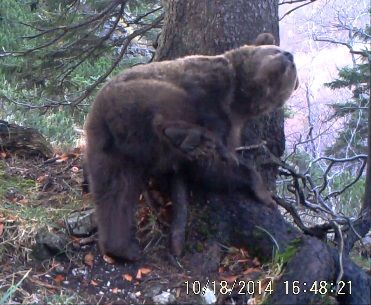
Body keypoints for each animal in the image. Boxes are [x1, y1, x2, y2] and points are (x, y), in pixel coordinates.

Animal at [85, 34, 300, 260]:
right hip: (133, 97)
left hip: (108, 148)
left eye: (294, 68)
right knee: (167, 108)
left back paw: (122, 248)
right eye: (274, 49)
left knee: (115, 193)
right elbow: (214, 163)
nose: (288, 55)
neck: (239, 101)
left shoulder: (232, 127)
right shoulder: (208, 86)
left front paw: (262, 193)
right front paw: (265, 194)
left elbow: (216, 169)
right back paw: (187, 136)